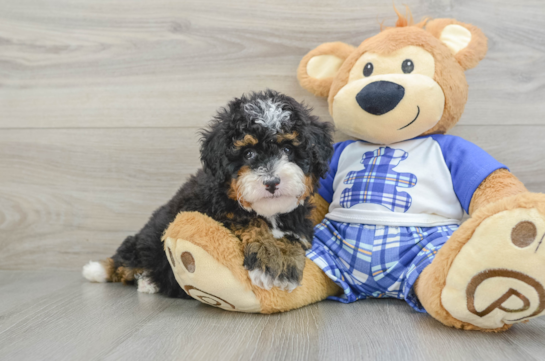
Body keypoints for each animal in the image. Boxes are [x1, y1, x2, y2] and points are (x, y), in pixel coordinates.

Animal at [83, 89, 334, 296]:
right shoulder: (208, 210)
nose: (272, 182)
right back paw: (99, 270)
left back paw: (146, 281)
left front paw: (284, 263)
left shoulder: (298, 221)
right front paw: (269, 258)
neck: (270, 213)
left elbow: (293, 236)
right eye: (249, 153)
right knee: (125, 259)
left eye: (288, 149)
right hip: (148, 239)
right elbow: (249, 220)